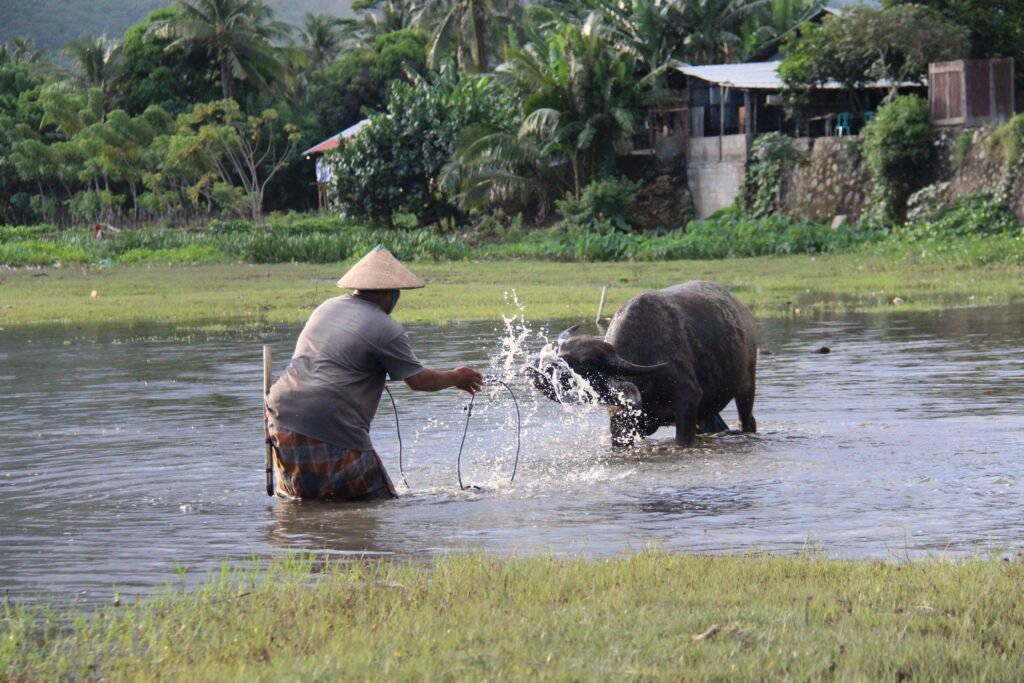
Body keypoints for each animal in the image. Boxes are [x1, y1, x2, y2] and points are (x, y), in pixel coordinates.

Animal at [528, 278, 753, 446]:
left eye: (585, 364)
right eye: (558, 351)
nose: (534, 369)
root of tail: (742, 311)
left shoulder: (687, 403)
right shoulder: (619, 422)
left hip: (746, 387)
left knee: (747, 421)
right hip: (708, 410)